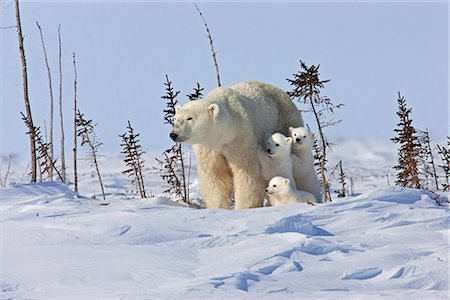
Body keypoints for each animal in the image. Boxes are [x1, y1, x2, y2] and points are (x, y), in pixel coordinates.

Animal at [171, 81, 304, 210]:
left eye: (189, 118)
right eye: (175, 119)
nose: (173, 134)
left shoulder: (240, 139)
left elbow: (247, 173)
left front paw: (244, 207)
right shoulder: (208, 149)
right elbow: (215, 175)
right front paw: (218, 207)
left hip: (285, 120)